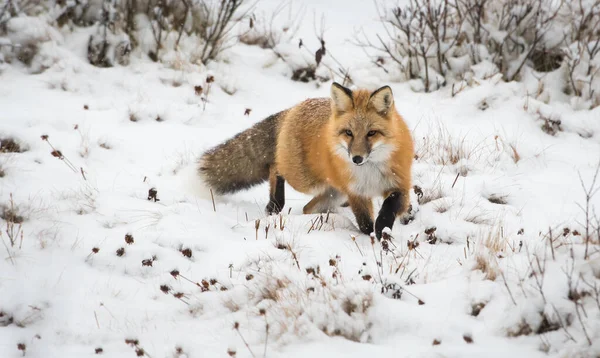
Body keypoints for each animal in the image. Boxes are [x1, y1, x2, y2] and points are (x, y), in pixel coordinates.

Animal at [199, 83, 414, 239]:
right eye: (349, 133)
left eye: (371, 133)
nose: (356, 158)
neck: (370, 171)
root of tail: (295, 107)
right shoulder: (356, 193)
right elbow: (364, 222)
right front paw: (373, 237)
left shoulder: (400, 184)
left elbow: (390, 207)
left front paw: (383, 231)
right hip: (305, 180)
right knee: (275, 166)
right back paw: (274, 204)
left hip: (333, 194)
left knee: (307, 208)